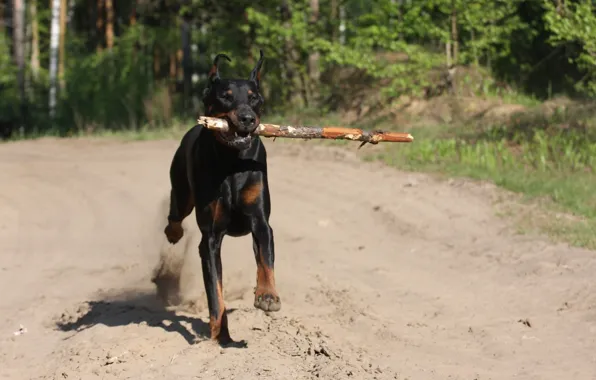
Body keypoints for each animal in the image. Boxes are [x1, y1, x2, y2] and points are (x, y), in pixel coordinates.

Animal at [156, 49, 282, 342]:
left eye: (254, 97)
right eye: (226, 95)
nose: (247, 118)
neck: (232, 162)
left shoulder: (260, 220)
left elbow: (265, 259)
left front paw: (267, 296)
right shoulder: (211, 237)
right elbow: (215, 290)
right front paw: (218, 333)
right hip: (182, 190)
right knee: (175, 213)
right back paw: (173, 232)